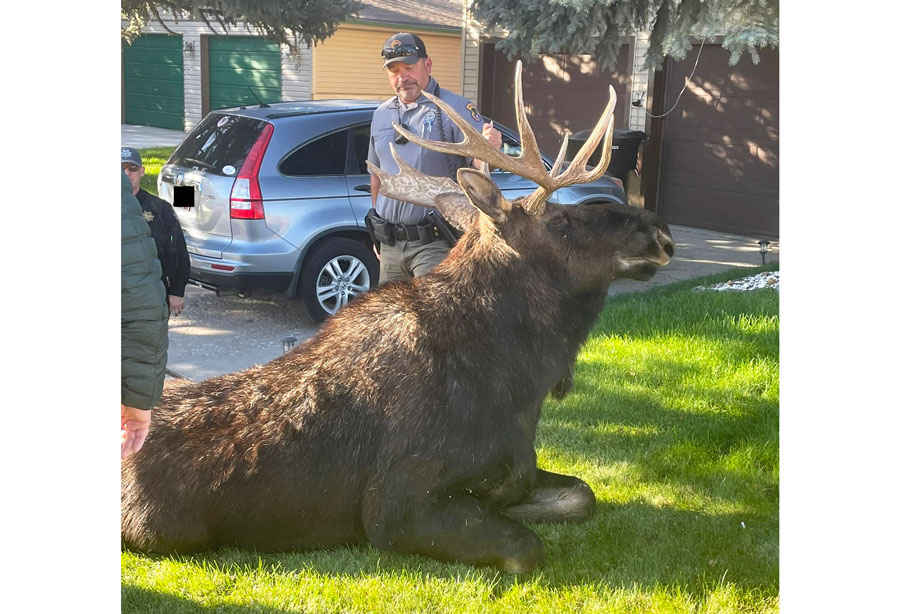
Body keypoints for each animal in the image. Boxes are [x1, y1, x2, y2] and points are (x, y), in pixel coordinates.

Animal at [121, 61, 675, 574]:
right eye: (560, 221)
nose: (662, 233)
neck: (522, 385)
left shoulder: (517, 470)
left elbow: (582, 494)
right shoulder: (394, 507)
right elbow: (526, 548)